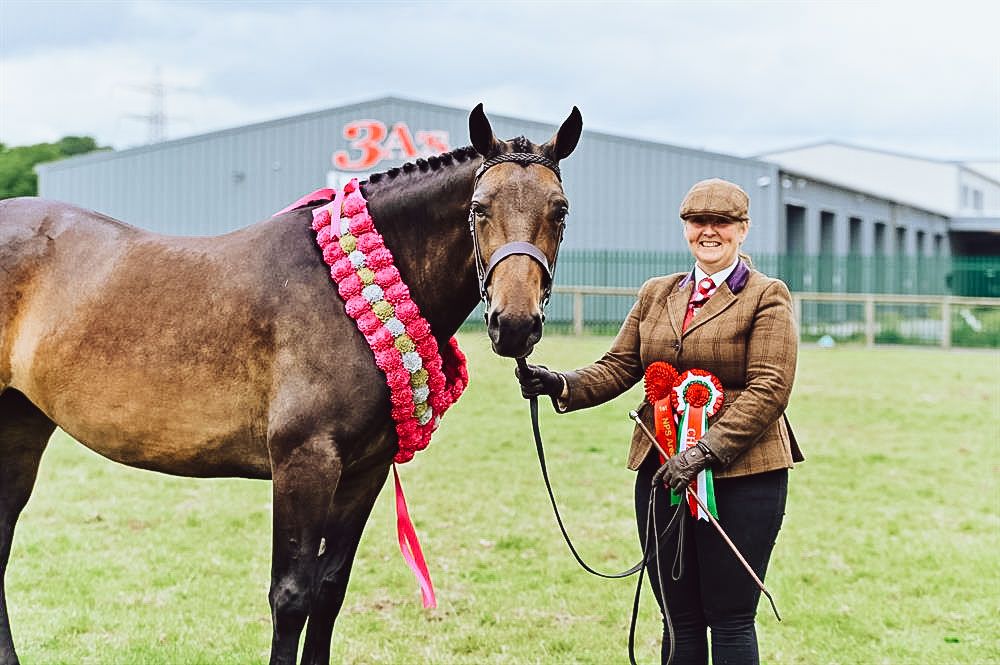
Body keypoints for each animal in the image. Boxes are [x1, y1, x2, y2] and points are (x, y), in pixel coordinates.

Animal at [0, 103, 582, 665]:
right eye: (480, 207)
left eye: (560, 210)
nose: (515, 325)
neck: (340, 295)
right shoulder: (305, 464)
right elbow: (291, 596)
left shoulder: (364, 473)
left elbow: (329, 591)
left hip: (22, 424)